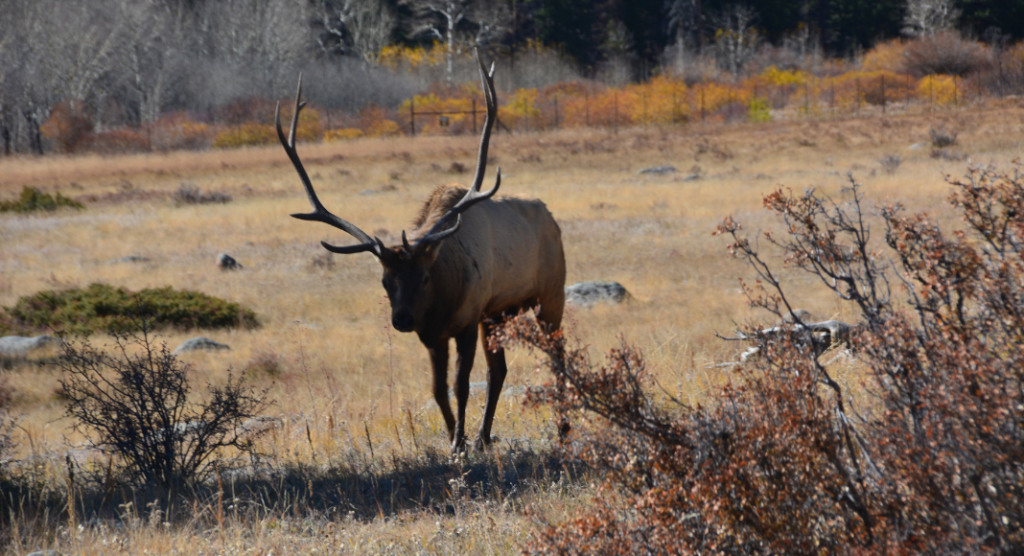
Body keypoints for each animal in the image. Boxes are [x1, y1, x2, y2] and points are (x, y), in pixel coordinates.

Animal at [278, 52, 569, 452]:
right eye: (385, 281)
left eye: (425, 277)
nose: (401, 319)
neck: (441, 304)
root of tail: (553, 219)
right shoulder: (434, 334)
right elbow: (437, 389)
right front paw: (456, 439)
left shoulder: (466, 320)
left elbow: (462, 386)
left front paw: (459, 441)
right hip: (495, 313)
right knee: (499, 370)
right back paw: (484, 436)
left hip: (551, 292)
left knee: (558, 356)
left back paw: (562, 429)